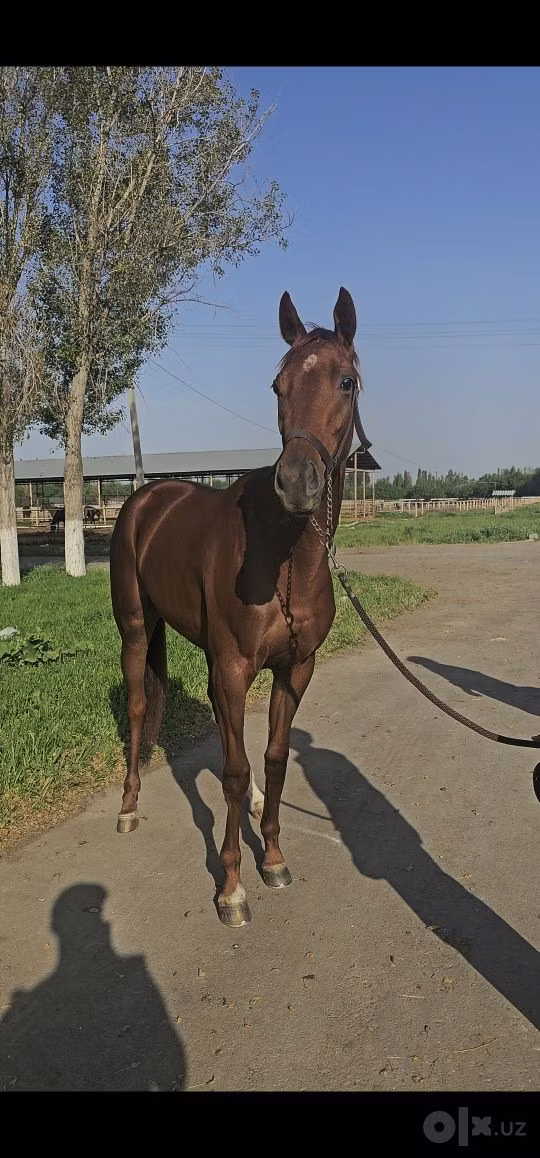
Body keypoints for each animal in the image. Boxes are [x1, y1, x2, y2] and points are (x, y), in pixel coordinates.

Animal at [109, 287, 371, 927]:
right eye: (278, 386)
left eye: (346, 381)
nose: (297, 481)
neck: (283, 555)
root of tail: (147, 498)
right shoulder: (231, 667)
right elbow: (232, 770)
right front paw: (231, 886)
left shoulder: (294, 669)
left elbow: (273, 760)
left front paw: (272, 856)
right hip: (136, 630)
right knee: (138, 708)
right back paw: (128, 807)